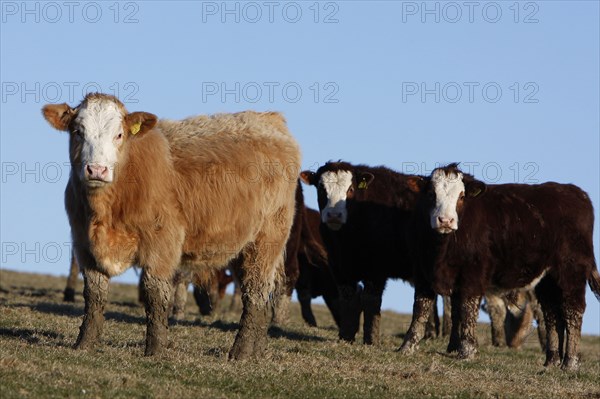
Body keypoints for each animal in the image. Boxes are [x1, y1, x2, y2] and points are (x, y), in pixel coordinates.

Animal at [42, 93, 300, 360]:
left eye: (119, 134)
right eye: (78, 131)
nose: (96, 169)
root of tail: (270, 120)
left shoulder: (161, 245)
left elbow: (155, 294)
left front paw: (155, 349)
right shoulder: (85, 246)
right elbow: (94, 295)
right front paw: (84, 343)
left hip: (265, 243)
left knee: (255, 293)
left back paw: (240, 352)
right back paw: (257, 350)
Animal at [398, 164, 600, 370]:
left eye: (461, 196)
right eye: (432, 194)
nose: (445, 220)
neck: (441, 250)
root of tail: (577, 193)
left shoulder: (473, 273)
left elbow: (467, 309)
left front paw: (467, 351)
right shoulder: (423, 272)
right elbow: (421, 308)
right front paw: (407, 346)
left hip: (571, 271)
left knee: (573, 311)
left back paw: (570, 363)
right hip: (547, 279)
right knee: (551, 314)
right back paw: (551, 361)